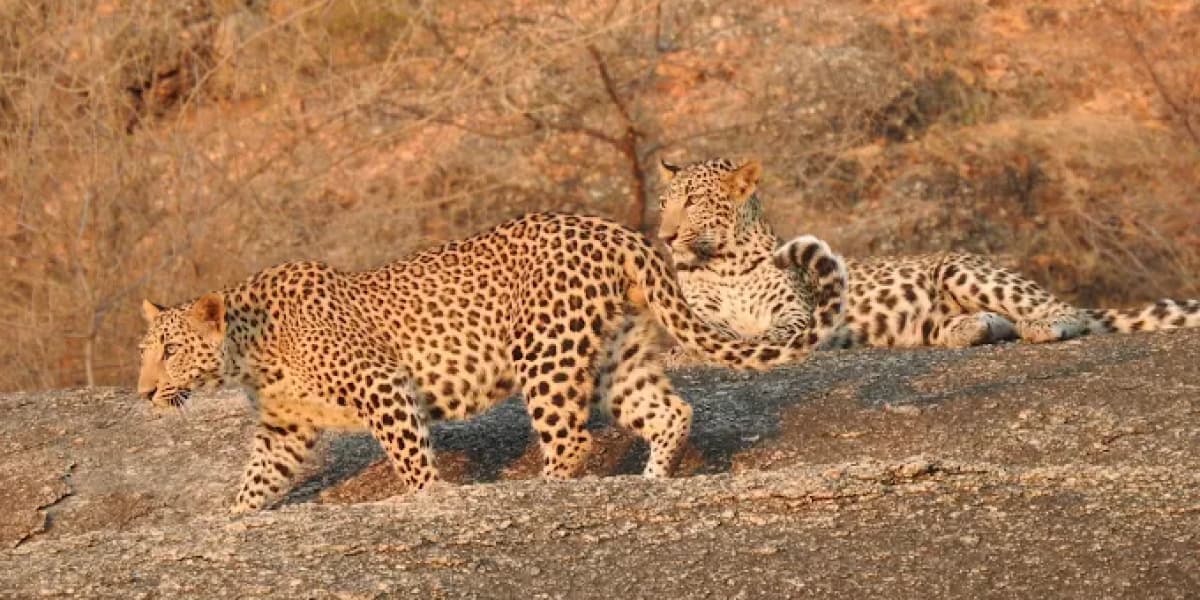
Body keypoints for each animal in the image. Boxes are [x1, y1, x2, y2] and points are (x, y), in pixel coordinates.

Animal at [137, 212, 846, 513]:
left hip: (547, 351)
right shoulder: (285, 427)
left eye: (169, 351)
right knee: (671, 410)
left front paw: (429, 499)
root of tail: (623, 232)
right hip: (619, 357)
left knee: (572, 439)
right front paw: (233, 519)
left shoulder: (382, 385)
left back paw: (547, 488)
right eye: (145, 354)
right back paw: (649, 480)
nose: (142, 394)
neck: (247, 353)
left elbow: (411, 458)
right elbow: (257, 478)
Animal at [656, 157, 1200, 351]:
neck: (725, 265)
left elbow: (773, 329)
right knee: (980, 325)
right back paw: (972, 328)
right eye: (665, 203)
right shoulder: (698, 316)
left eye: (695, 202)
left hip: (962, 268)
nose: (664, 237)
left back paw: (1040, 326)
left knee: (1070, 312)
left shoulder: (797, 311)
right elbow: (709, 332)